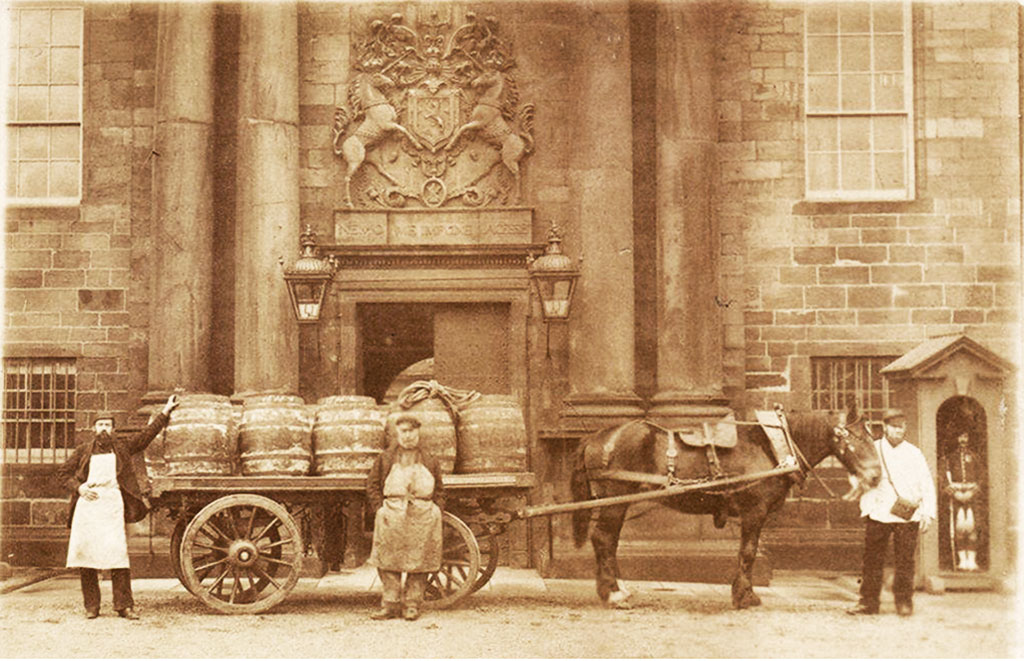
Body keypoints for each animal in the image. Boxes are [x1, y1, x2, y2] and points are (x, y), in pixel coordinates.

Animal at [331, 72, 419, 206]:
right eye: (377, 76)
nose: (392, 82)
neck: (377, 105)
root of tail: (341, 148)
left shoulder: (393, 123)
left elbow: (400, 129)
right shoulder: (388, 125)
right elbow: (403, 129)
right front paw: (417, 144)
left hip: (373, 156)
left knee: (381, 170)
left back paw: (397, 183)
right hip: (355, 161)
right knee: (347, 178)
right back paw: (349, 203)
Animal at [569, 403, 880, 609]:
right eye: (858, 437)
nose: (876, 476)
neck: (773, 447)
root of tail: (597, 436)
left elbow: (746, 553)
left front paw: (742, 593)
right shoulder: (754, 512)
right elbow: (748, 552)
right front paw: (745, 596)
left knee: (608, 542)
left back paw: (614, 589)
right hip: (614, 501)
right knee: (603, 539)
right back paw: (613, 593)